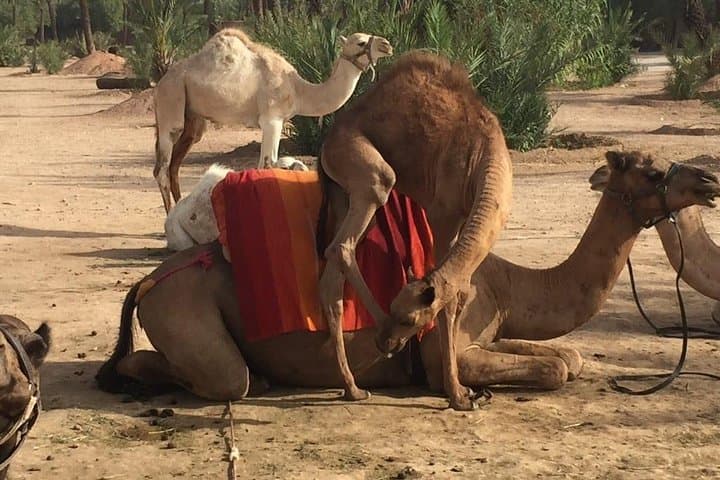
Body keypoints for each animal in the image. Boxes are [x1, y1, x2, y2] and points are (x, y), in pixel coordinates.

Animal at [96, 151, 720, 404]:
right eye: (653, 171)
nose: (709, 179)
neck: (508, 283)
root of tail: (147, 282)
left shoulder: (490, 329)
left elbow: (570, 357)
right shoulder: (450, 348)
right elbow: (553, 369)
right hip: (185, 314)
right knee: (219, 376)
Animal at [153, 28, 393, 213]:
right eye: (361, 41)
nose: (387, 45)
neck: (299, 90)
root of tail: (160, 82)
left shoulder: (276, 120)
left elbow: (278, 164)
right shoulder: (272, 119)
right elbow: (267, 164)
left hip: (193, 118)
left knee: (175, 164)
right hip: (171, 100)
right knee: (162, 167)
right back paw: (170, 219)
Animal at [317, 51, 513, 410]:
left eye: (409, 320)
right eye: (398, 311)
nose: (385, 342)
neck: (485, 159)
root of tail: (327, 143)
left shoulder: (466, 219)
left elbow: (460, 292)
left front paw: (464, 390)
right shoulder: (443, 214)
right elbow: (448, 294)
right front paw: (457, 395)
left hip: (343, 192)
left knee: (332, 272)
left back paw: (352, 388)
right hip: (368, 172)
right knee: (345, 242)